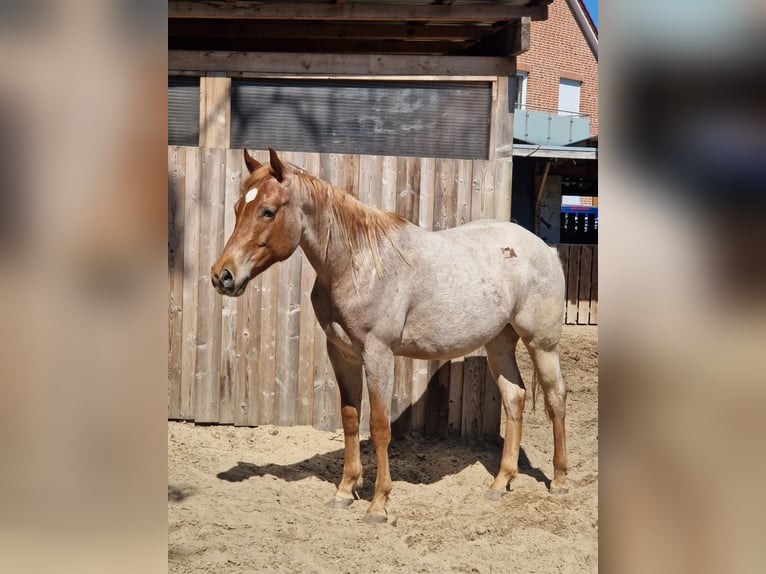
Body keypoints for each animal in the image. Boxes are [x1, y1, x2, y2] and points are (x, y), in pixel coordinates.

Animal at [211, 148, 569, 523]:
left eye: (267, 211)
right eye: (237, 208)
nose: (223, 275)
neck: (357, 264)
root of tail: (544, 249)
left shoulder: (378, 354)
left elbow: (380, 426)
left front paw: (379, 503)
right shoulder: (341, 354)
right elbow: (350, 418)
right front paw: (345, 489)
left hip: (542, 344)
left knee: (556, 398)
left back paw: (559, 480)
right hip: (499, 342)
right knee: (515, 397)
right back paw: (501, 482)